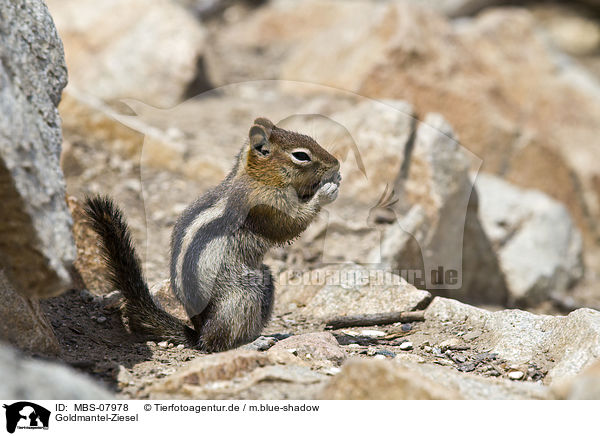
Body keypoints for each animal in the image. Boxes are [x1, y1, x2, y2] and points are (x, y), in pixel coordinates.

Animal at [83, 117, 342, 352]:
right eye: (301, 156)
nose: (337, 164)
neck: (257, 178)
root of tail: (198, 333)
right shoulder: (263, 205)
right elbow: (289, 225)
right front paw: (326, 191)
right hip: (241, 294)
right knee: (217, 343)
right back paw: (250, 343)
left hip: (264, 278)